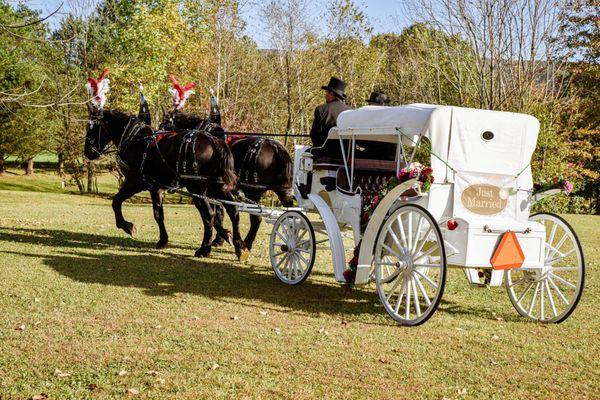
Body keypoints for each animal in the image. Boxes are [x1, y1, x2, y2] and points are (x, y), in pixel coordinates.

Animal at [83, 104, 247, 260]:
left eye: (91, 128)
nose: (87, 153)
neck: (134, 139)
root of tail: (214, 141)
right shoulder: (156, 188)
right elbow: (158, 214)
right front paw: (163, 239)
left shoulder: (135, 182)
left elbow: (116, 202)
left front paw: (127, 227)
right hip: (218, 186)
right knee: (233, 211)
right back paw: (240, 247)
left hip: (196, 188)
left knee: (209, 214)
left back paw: (204, 249)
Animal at [161, 108, 294, 248]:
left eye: (165, 124)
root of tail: (276, 148)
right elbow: (220, 213)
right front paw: (221, 238)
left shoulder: (212, 190)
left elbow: (217, 214)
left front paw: (221, 238)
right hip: (284, 191)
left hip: (253, 192)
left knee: (256, 218)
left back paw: (246, 243)